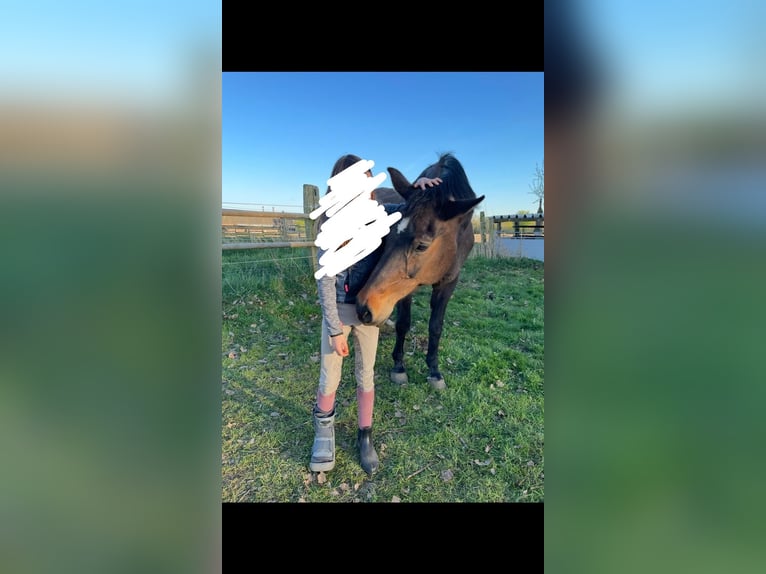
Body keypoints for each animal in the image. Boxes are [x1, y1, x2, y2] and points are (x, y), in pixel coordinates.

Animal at [356, 153, 486, 392]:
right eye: (387, 236)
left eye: (422, 246)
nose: (363, 308)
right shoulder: (407, 287)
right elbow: (404, 323)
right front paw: (399, 366)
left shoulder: (449, 282)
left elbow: (435, 326)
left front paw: (434, 370)